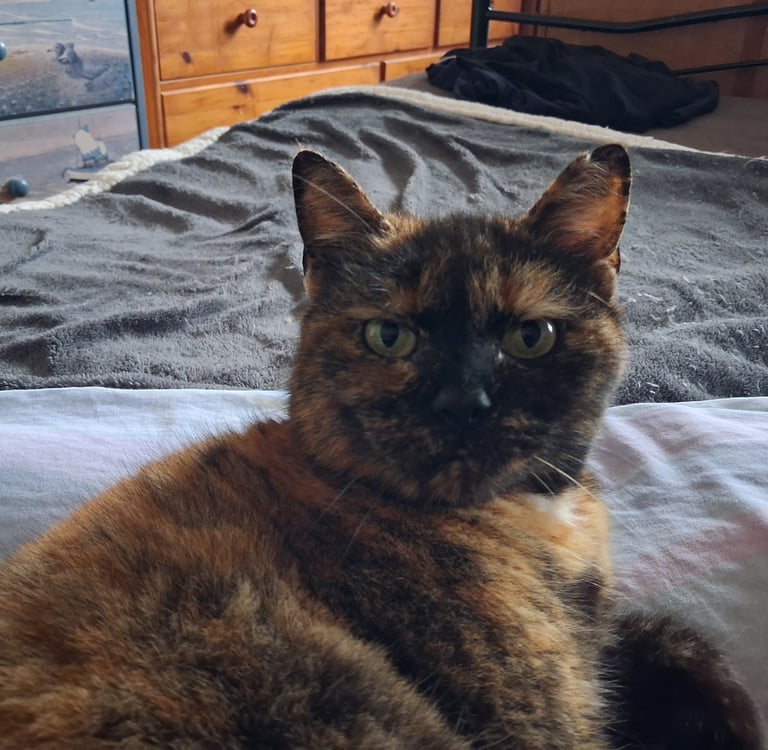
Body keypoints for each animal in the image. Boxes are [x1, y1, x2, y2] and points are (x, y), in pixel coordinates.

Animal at [0, 145, 761, 749]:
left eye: (530, 337)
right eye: (389, 336)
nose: (464, 404)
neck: (537, 517)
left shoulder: (591, 637)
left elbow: (659, 635)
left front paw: (723, 710)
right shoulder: (533, 712)